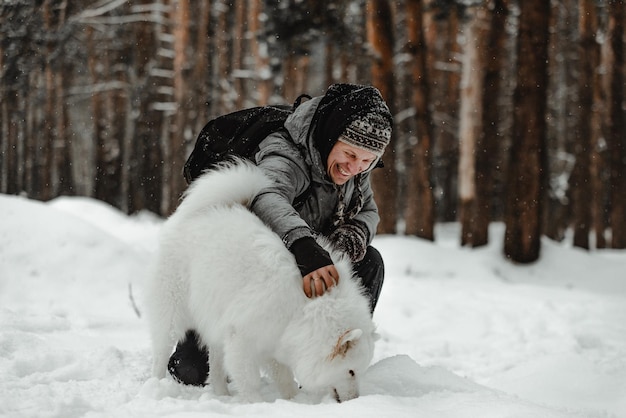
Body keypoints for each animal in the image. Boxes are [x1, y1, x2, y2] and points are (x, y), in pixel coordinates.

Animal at [146, 160, 376, 402]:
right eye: (351, 371)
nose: (355, 399)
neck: (304, 308)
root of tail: (202, 212)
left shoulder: (274, 340)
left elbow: (283, 377)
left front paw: (293, 400)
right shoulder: (242, 337)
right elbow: (249, 380)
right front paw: (255, 402)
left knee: (215, 363)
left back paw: (221, 394)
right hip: (172, 311)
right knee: (162, 351)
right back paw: (157, 386)